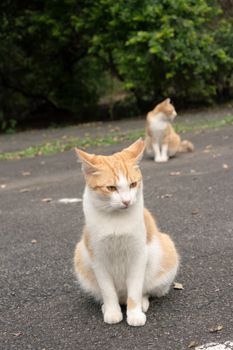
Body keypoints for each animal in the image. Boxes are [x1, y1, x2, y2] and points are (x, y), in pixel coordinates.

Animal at [73, 139, 179, 326]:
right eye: (111, 188)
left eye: (133, 184)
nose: (127, 201)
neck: (116, 220)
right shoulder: (98, 259)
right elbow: (107, 291)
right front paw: (112, 312)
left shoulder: (138, 255)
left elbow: (135, 290)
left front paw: (135, 314)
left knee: (145, 291)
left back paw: (142, 304)